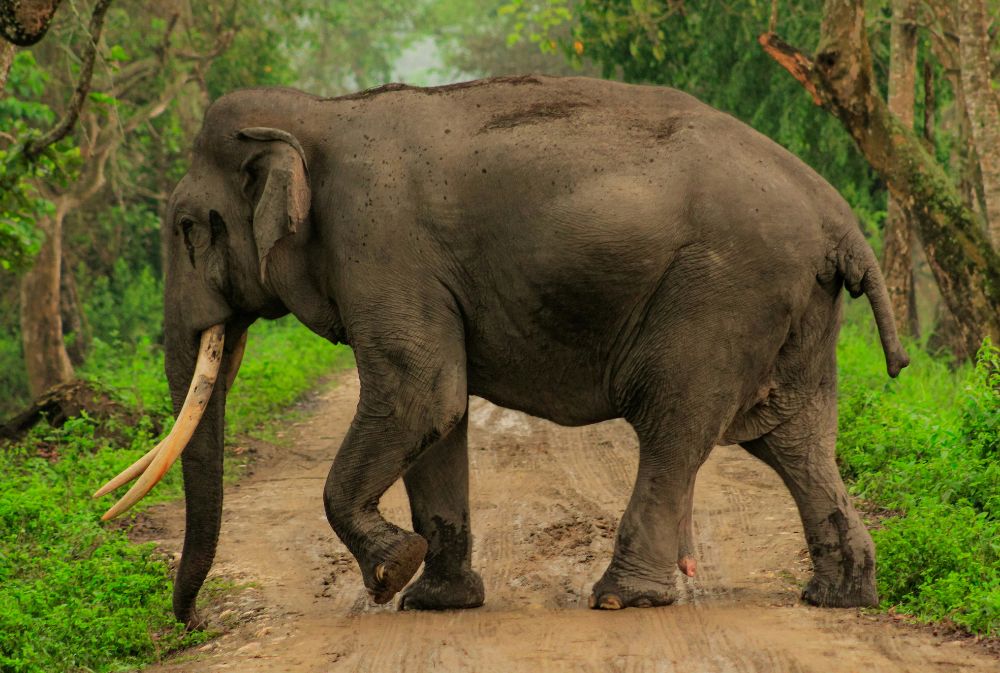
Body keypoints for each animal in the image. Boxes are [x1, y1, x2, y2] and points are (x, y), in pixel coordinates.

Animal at [94, 74, 909, 628]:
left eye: (190, 227)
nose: (191, 619)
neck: (319, 111)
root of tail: (838, 216)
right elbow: (438, 413)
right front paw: (437, 601)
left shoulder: (379, 245)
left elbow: (421, 392)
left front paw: (391, 574)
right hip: (795, 307)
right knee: (794, 436)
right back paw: (838, 595)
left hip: (722, 293)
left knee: (674, 424)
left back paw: (620, 599)